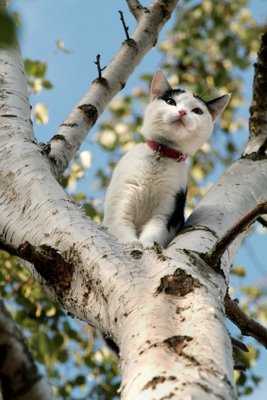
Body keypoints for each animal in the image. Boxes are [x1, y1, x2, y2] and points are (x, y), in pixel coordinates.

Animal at [102, 70, 230, 248]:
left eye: (197, 111)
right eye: (170, 102)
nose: (182, 112)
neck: (161, 154)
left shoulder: (167, 212)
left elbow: (155, 231)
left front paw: (148, 246)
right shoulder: (121, 200)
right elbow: (120, 224)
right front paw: (131, 242)